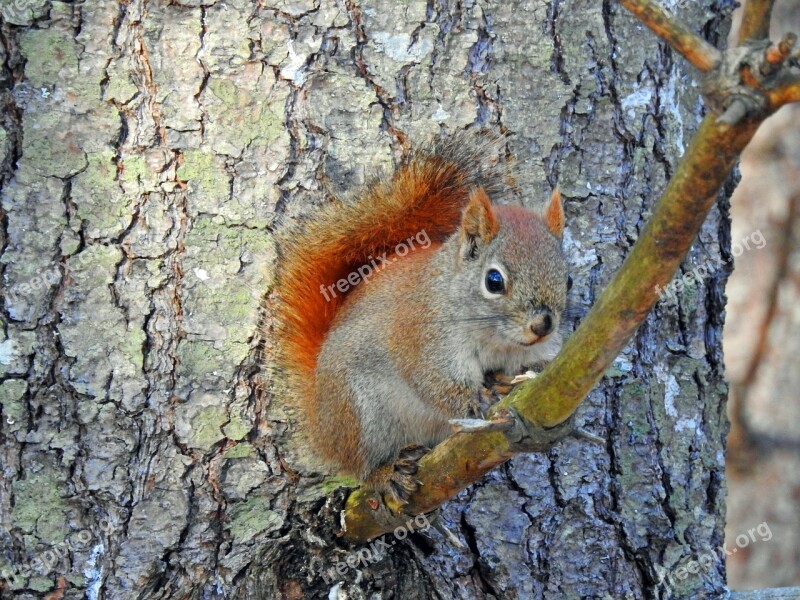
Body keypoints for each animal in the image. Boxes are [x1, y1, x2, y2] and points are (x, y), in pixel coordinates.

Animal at [276, 132, 568, 510]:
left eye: (568, 279)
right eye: (494, 281)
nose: (542, 326)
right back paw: (385, 474)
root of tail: (319, 419)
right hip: (361, 414)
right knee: (361, 465)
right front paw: (475, 402)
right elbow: (434, 384)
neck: (496, 339)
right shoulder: (421, 340)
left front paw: (509, 382)